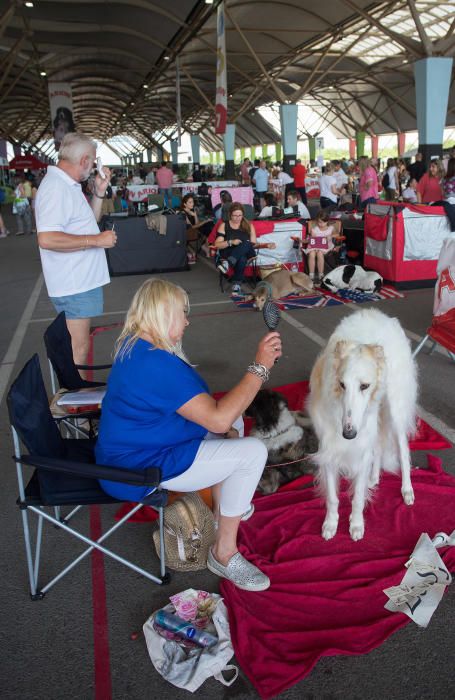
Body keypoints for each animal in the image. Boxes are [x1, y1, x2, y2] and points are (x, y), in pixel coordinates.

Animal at [308, 308, 418, 544]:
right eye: (342, 384)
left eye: (365, 386)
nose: (348, 434)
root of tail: (376, 313)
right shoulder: (329, 448)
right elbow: (332, 498)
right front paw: (330, 525)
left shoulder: (360, 444)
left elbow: (357, 498)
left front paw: (356, 526)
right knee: (378, 448)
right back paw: (373, 477)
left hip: (395, 410)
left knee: (403, 451)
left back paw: (407, 490)